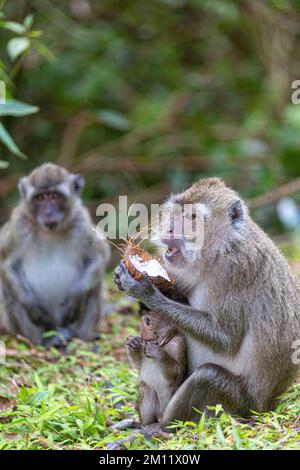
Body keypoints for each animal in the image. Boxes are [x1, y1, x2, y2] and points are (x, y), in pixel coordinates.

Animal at [0, 163, 110, 346]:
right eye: (39, 198)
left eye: (54, 196)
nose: (49, 213)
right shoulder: (19, 225)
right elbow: (6, 263)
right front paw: (31, 305)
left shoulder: (81, 223)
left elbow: (99, 255)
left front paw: (74, 300)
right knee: (9, 293)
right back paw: (42, 341)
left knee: (95, 286)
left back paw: (77, 337)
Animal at [115, 176, 300, 422]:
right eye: (178, 212)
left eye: (193, 217)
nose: (171, 228)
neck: (221, 249)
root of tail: (267, 405)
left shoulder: (233, 271)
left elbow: (226, 338)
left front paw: (148, 293)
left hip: (239, 403)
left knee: (207, 376)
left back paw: (160, 426)